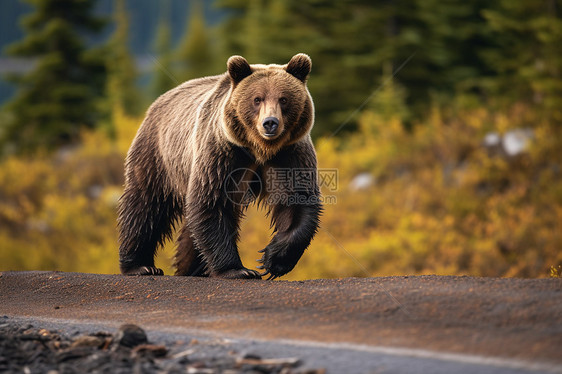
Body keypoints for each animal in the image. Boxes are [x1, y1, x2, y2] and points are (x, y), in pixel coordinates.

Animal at [117, 54, 320, 280]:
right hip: (158, 154)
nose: (270, 123)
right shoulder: (223, 153)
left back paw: (189, 268)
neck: (260, 149)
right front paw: (238, 269)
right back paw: (140, 266)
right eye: (257, 99)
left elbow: (297, 200)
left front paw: (272, 260)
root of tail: (159, 101)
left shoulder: (289, 154)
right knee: (146, 204)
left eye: (283, 99)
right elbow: (211, 201)